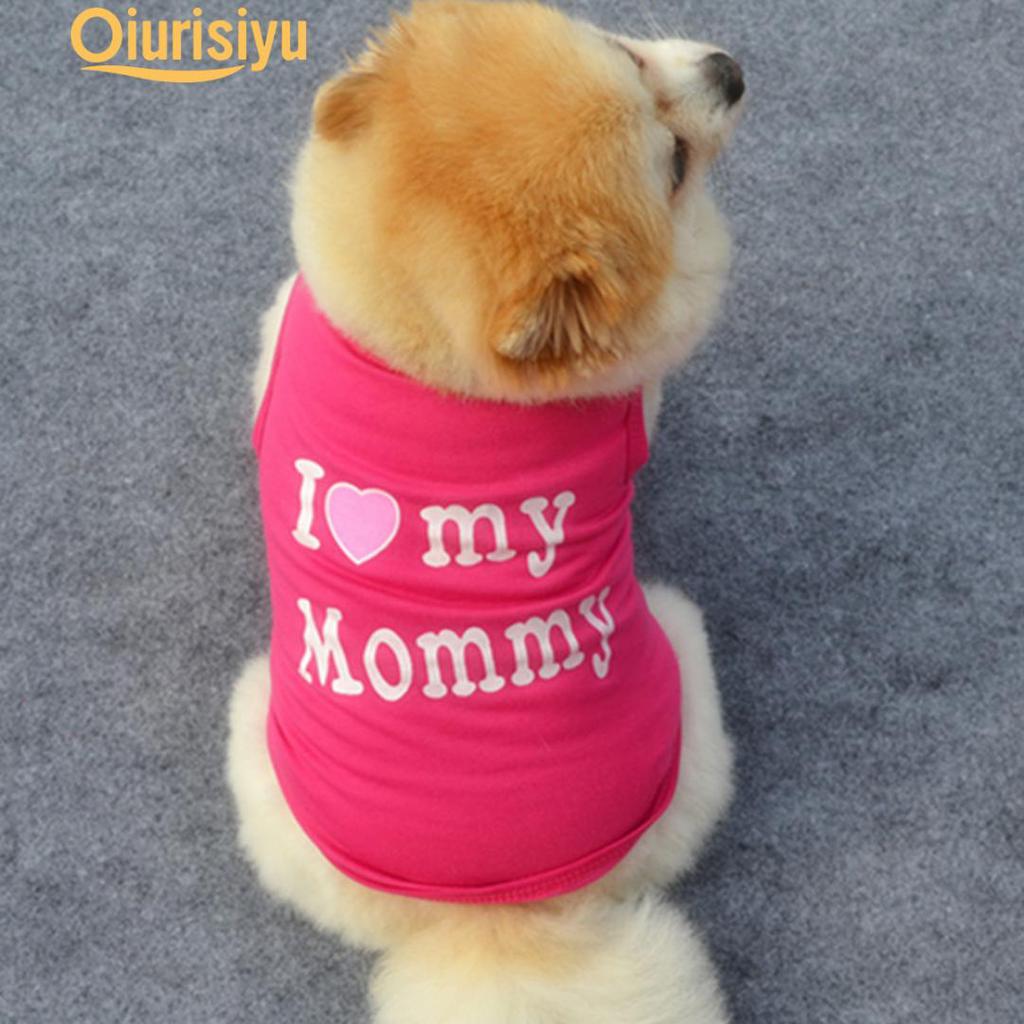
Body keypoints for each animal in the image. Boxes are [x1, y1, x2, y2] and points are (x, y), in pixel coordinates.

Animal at [227, 3, 744, 1021]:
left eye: (622, 47)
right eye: (670, 162)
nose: (731, 72)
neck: (420, 352)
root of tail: (501, 915)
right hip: (681, 657)